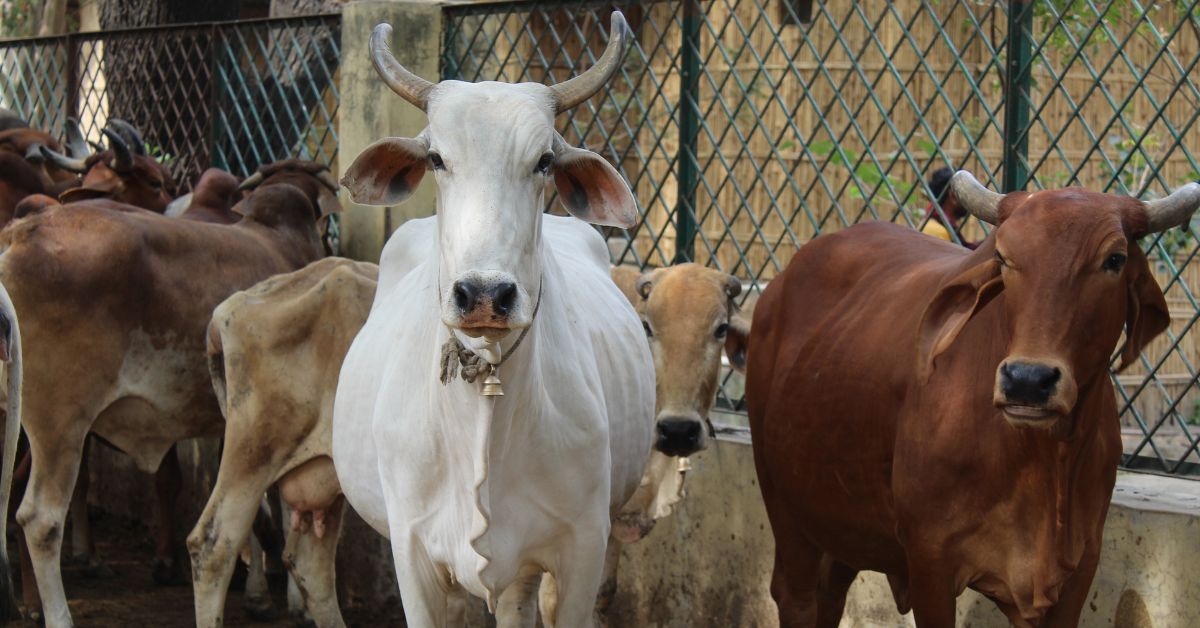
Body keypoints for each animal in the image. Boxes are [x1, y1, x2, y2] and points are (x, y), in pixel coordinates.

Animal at [745, 171, 1200, 627]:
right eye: (1003, 256)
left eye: (1115, 259)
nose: (1027, 380)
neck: (1039, 457)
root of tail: (777, 288)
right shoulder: (930, 561)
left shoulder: (1080, 565)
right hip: (784, 503)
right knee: (797, 597)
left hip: (842, 524)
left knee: (830, 593)